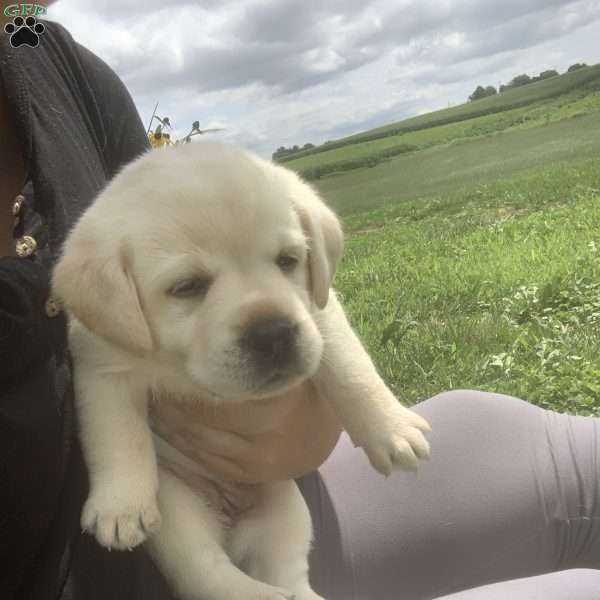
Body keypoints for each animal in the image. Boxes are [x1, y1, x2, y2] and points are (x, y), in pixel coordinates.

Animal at [52, 142, 432, 600]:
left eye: (289, 260)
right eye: (187, 286)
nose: (273, 333)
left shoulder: (319, 315)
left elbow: (352, 371)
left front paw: (393, 429)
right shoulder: (103, 366)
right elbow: (117, 437)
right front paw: (120, 505)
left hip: (285, 509)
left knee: (287, 573)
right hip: (178, 513)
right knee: (208, 573)